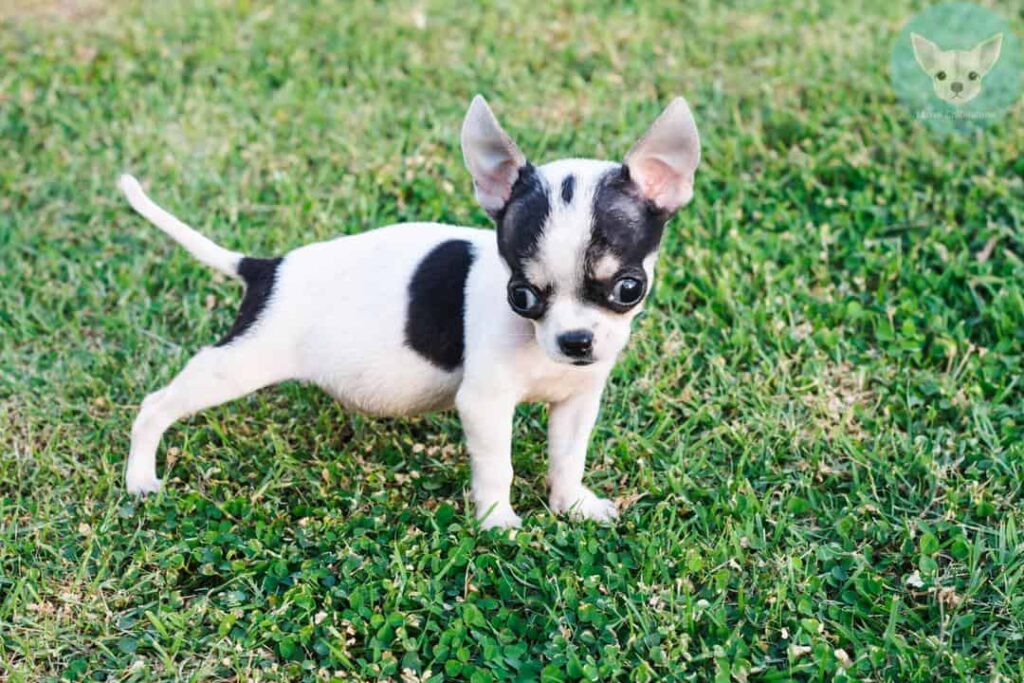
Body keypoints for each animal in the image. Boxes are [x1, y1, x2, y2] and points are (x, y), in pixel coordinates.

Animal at [116, 96, 700, 532]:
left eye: (629, 288)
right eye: (521, 296)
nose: (577, 341)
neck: (536, 346)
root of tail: (267, 269)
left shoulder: (577, 401)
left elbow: (568, 456)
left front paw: (572, 505)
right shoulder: (485, 405)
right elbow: (498, 466)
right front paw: (497, 521)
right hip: (238, 363)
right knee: (156, 405)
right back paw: (140, 476)